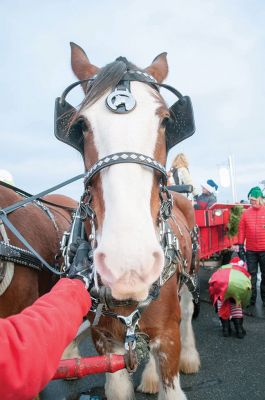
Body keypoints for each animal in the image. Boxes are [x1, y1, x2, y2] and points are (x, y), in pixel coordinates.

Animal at [56, 43, 200, 400]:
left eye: (166, 121)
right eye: (81, 125)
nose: (129, 265)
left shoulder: (168, 338)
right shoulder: (106, 343)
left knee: (188, 312)